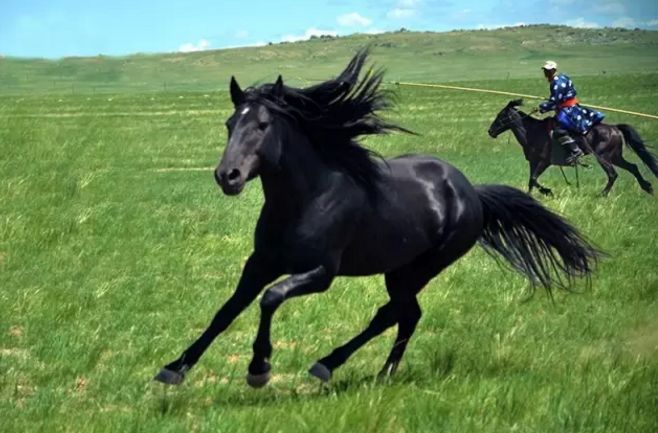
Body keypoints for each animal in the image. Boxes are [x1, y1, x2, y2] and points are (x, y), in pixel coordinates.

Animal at [155, 51, 600, 388]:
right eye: (230, 123)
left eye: (262, 125)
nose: (227, 176)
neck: (306, 198)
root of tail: (472, 192)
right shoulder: (260, 263)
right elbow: (227, 310)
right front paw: (174, 369)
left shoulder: (320, 273)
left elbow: (270, 298)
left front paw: (259, 369)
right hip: (400, 269)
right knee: (407, 315)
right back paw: (380, 372)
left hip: (423, 267)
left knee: (391, 314)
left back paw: (331, 365)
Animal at [486, 98, 656, 195]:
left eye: (501, 116)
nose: (490, 131)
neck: (532, 132)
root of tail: (614, 128)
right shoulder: (533, 162)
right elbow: (531, 181)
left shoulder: (544, 162)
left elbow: (533, 179)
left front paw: (548, 192)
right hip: (615, 156)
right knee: (633, 167)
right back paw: (647, 187)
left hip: (603, 157)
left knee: (612, 174)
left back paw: (601, 195)